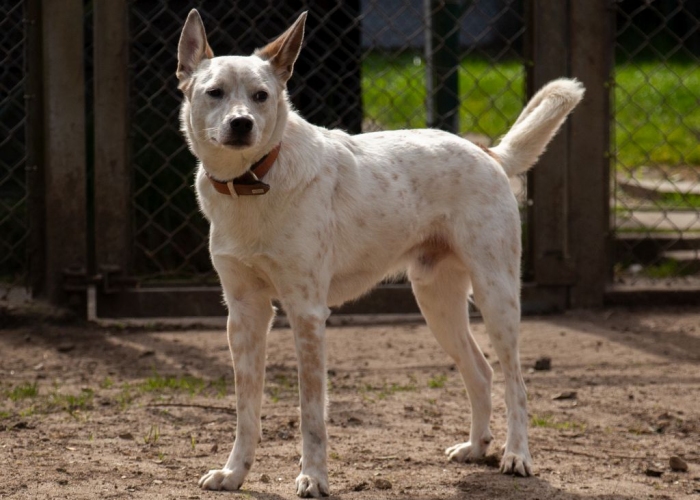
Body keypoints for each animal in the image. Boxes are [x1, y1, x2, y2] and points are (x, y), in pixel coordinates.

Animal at [176, 9, 584, 498]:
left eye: (261, 96)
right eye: (214, 92)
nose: (242, 124)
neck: (253, 182)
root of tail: (487, 151)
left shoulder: (306, 312)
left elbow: (311, 412)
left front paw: (313, 477)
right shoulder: (244, 314)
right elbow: (246, 410)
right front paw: (234, 473)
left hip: (497, 297)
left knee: (516, 383)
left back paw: (516, 456)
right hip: (436, 302)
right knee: (481, 372)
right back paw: (474, 448)